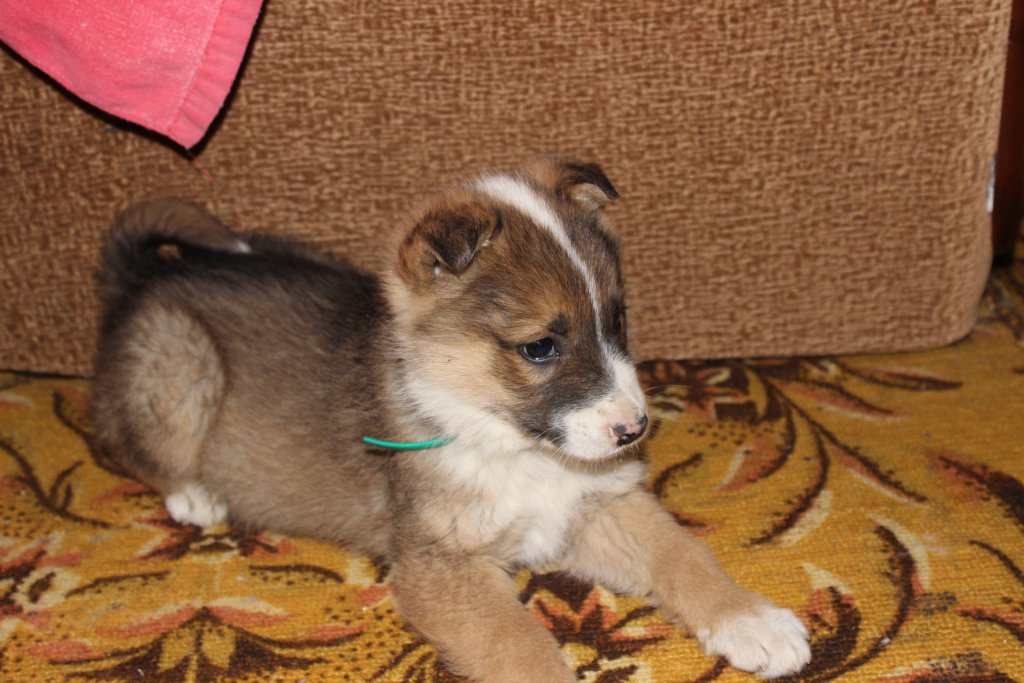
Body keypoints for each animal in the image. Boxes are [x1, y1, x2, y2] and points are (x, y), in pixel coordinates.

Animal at [92, 159, 811, 681]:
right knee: (126, 443)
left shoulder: (598, 505)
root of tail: (140, 275)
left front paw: (753, 621)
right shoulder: (442, 567)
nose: (633, 431)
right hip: (178, 362)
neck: (511, 445)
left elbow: (684, 554)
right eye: (539, 346)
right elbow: (521, 648)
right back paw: (194, 496)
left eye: (618, 318)